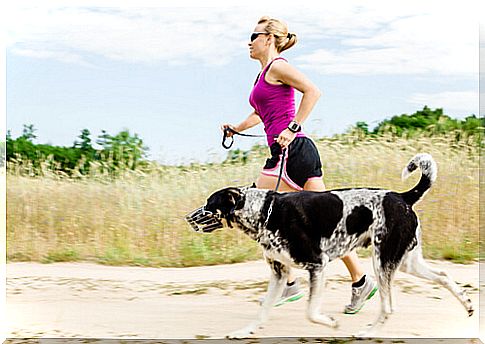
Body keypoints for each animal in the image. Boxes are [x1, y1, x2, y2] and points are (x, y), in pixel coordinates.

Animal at [185, 155, 472, 338]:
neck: (266, 211)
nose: (188, 217)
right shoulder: (279, 273)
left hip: (383, 262)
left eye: (209, 204)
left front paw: (331, 323)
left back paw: (367, 333)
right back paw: (468, 305)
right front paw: (245, 332)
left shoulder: (317, 266)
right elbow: (263, 311)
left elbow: (311, 312)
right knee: (444, 276)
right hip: (406, 261)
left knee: (388, 307)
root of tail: (403, 197)